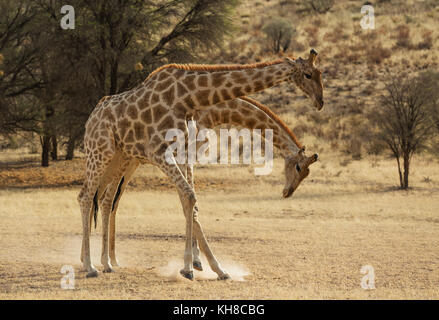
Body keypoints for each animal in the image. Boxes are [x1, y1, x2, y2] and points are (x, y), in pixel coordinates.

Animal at [78, 48, 324, 278]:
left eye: (306, 174)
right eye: (308, 74)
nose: (320, 102)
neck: (191, 99)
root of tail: (91, 117)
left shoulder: (183, 153)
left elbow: (190, 200)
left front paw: (211, 267)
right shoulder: (162, 153)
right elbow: (188, 198)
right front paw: (192, 266)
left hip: (118, 158)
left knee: (103, 198)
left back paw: (103, 261)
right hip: (101, 152)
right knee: (89, 197)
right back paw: (91, 265)